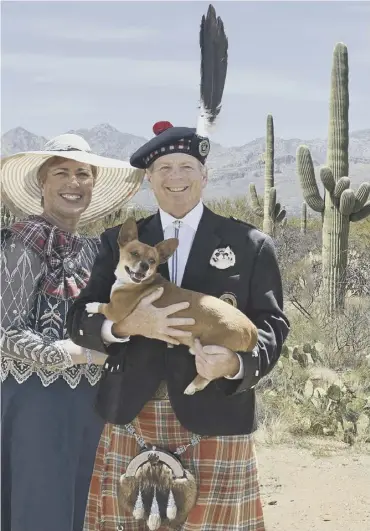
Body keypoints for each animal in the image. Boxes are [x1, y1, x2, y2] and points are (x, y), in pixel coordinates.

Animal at [86, 216, 258, 394]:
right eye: (134, 253)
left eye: (152, 261)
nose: (145, 266)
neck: (135, 283)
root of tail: (252, 330)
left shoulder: (116, 310)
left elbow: (104, 306)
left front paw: (92, 305)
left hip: (211, 349)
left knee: (208, 375)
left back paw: (192, 386)